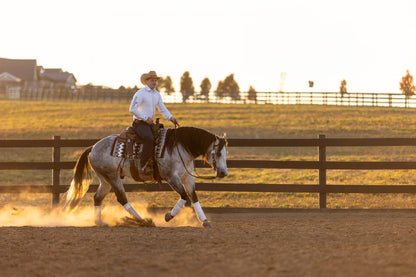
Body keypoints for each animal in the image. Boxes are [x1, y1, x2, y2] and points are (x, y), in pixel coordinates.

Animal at [63, 125, 229, 226]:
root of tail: (93, 147)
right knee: (122, 198)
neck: (179, 147)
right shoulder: (171, 177)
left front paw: (205, 221)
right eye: (218, 153)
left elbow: (193, 197)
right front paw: (168, 216)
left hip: (105, 180)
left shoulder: (187, 177)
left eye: (226, 152)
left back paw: (100, 222)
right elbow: (184, 196)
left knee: (98, 198)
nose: (223, 173)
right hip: (113, 177)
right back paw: (142, 220)